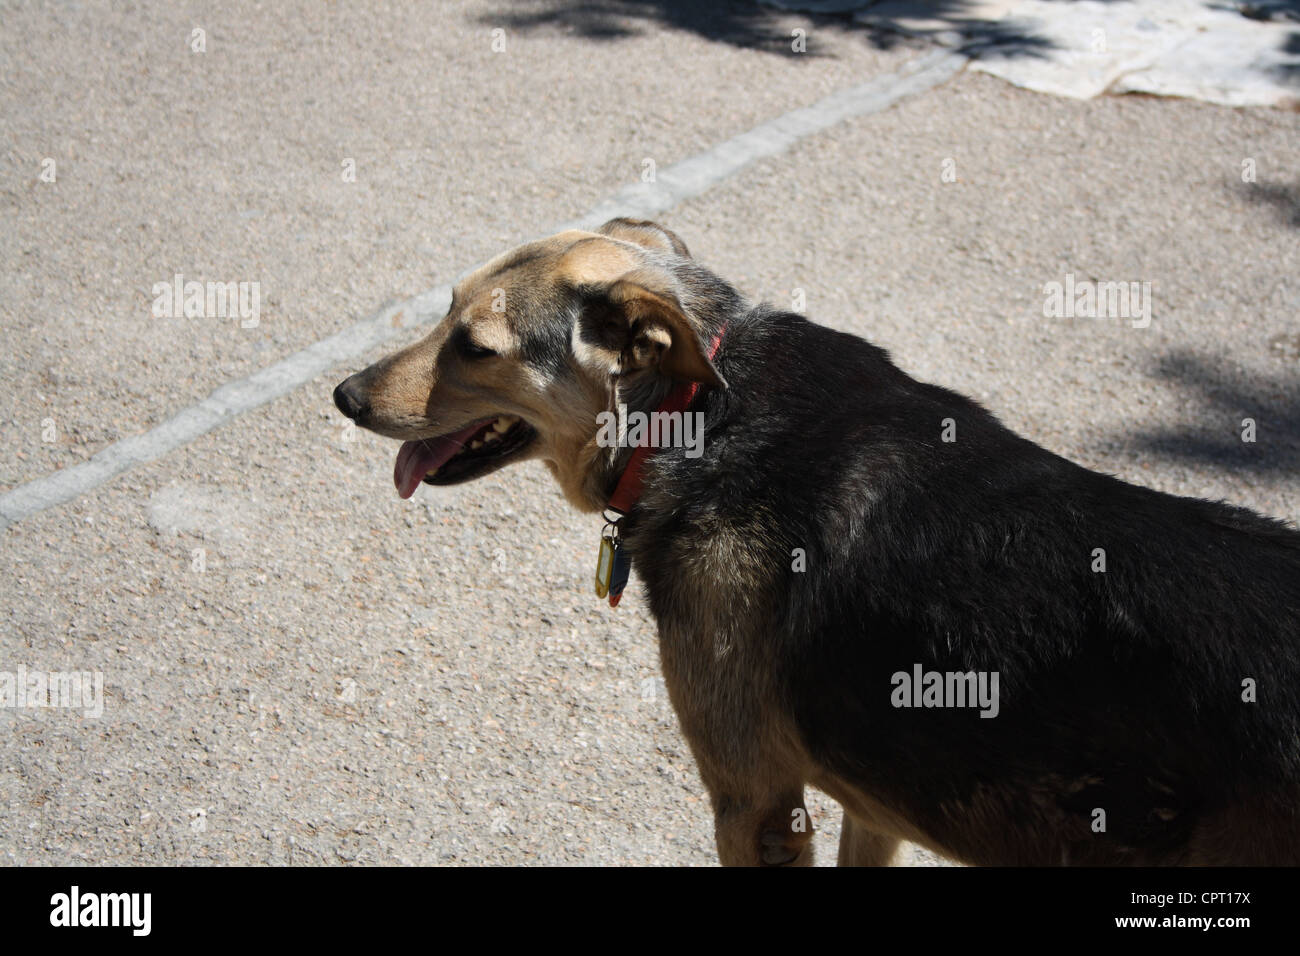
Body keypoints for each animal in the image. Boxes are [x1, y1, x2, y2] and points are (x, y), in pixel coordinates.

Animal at [335, 218, 1300, 868]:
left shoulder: (753, 802)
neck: (700, 412)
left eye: (475, 346)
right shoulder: (872, 799)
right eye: (444, 312)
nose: (343, 396)